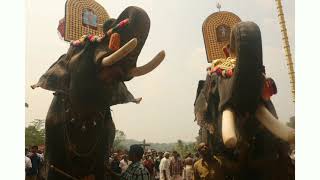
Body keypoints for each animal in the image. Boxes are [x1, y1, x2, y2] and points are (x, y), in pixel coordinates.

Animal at [31, 5, 166, 180]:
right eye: (83, 44)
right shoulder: (53, 128)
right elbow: (53, 169)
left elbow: (101, 167)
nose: (110, 22)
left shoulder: (107, 133)